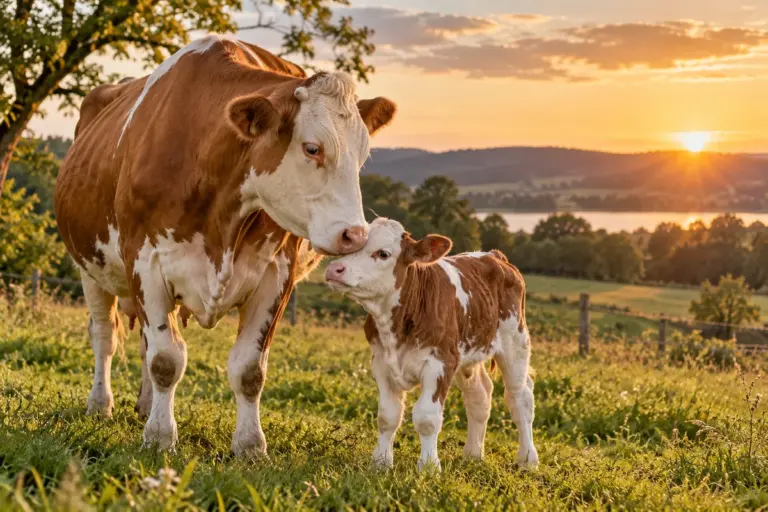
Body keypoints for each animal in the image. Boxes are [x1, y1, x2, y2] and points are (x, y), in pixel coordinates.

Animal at [53, 34, 396, 456]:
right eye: (312, 148)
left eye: (363, 156)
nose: (356, 235)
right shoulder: (145, 260)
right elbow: (166, 359)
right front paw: (160, 437)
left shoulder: (275, 273)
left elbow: (248, 369)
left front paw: (250, 445)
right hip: (90, 268)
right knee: (105, 336)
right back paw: (100, 404)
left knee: (143, 342)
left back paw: (146, 406)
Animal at [324, 218, 538, 471]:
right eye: (349, 246)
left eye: (383, 253)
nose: (334, 269)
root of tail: (494, 255)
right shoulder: (381, 363)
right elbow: (387, 416)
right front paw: (381, 463)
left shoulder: (440, 363)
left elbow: (427, 417)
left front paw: (428, 467)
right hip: (469, 355)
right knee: (479, 396)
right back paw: (473, 454)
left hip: (516, 342)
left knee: (520, 397)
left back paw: (527, 459)